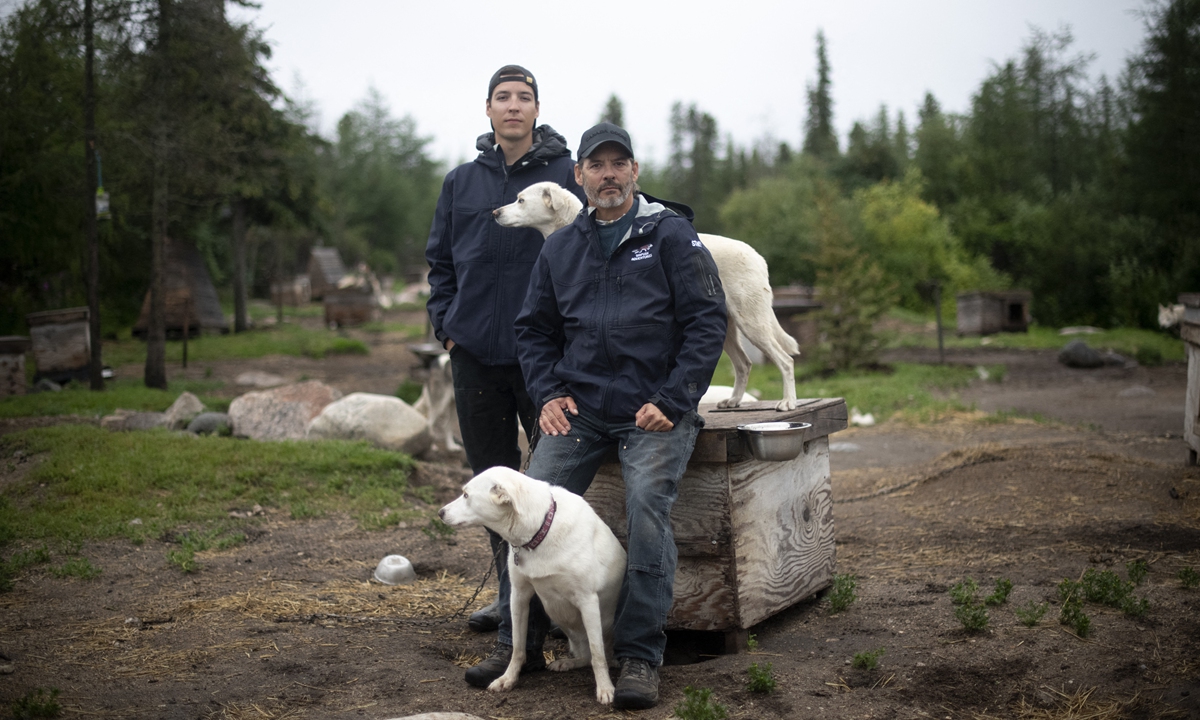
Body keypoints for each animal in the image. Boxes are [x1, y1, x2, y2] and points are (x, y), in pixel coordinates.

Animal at [441, 468, 628, 700]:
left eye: (466, 495)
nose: (440, 512)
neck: (541, 530)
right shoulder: (519, 595)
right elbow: (518, 647)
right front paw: (508, 679)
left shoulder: (588, 601)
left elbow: (597, 654)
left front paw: (605, 689)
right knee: (585, 656)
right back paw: (567, 663)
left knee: (602, 655)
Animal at [492, 181, 801, 410]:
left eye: (520, 200)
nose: (495, 213)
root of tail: (758, 257)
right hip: (724, 327)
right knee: (744, 363)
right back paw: (734, 400)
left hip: (752, 321)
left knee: (785, 360)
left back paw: (787, 402)